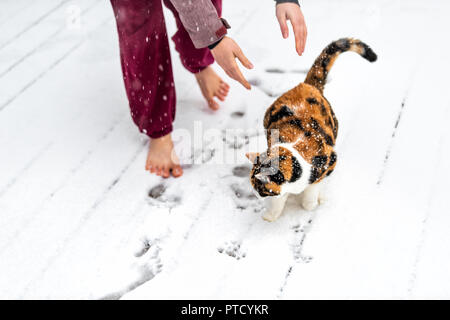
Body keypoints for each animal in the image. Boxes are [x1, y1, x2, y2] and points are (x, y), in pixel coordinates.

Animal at [246, 37, 376, 221]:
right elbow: (279, 200)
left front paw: (311, 203)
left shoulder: (330, 160)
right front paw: (271, 215)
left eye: (259, 188)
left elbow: (312, 190)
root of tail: (305, 84)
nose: (254, 194)